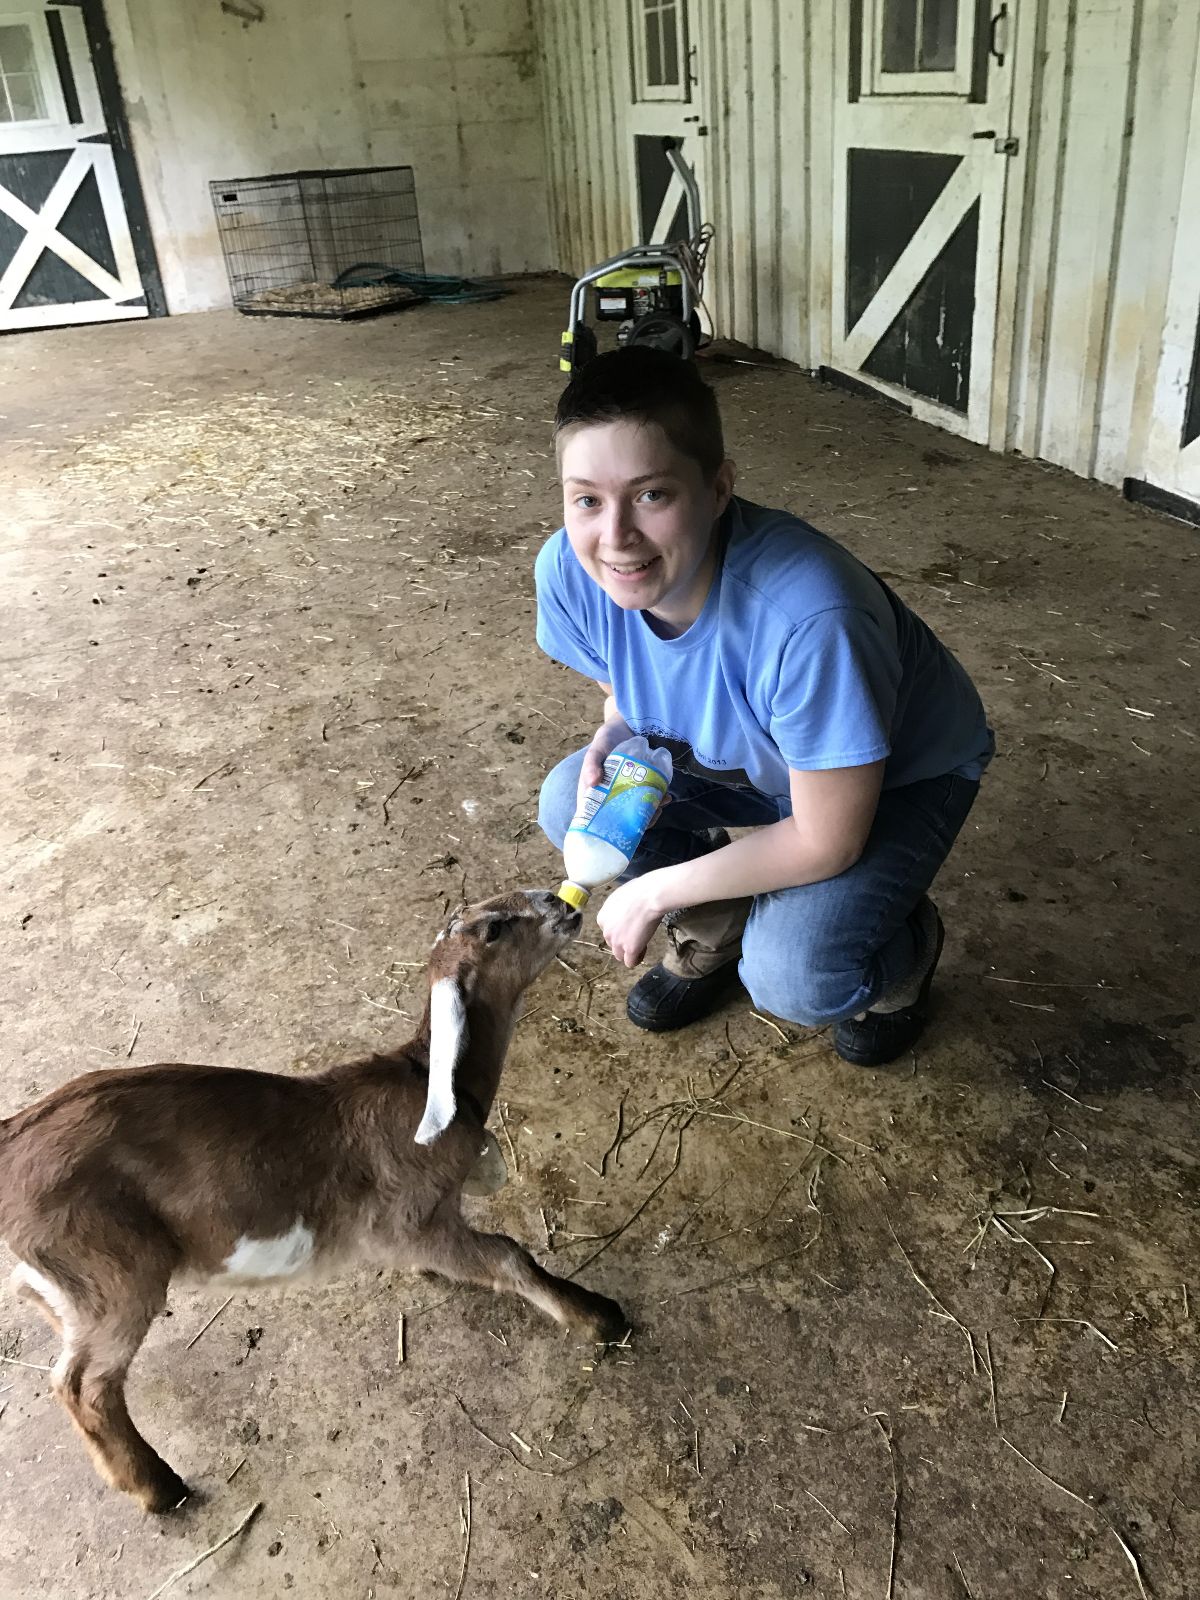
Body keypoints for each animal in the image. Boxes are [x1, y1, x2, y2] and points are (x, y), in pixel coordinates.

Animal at [2, 889, 630, 1510]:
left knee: (39, 1304)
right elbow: (506, 1255)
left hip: (73, 1270)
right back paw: (159, 1488)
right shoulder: (409, 1218)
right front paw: (596, 1317)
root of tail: (12, 1141)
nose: (564, 903)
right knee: (84, 1384)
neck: (429, 1081)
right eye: (495, 928)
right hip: (114, 1267)